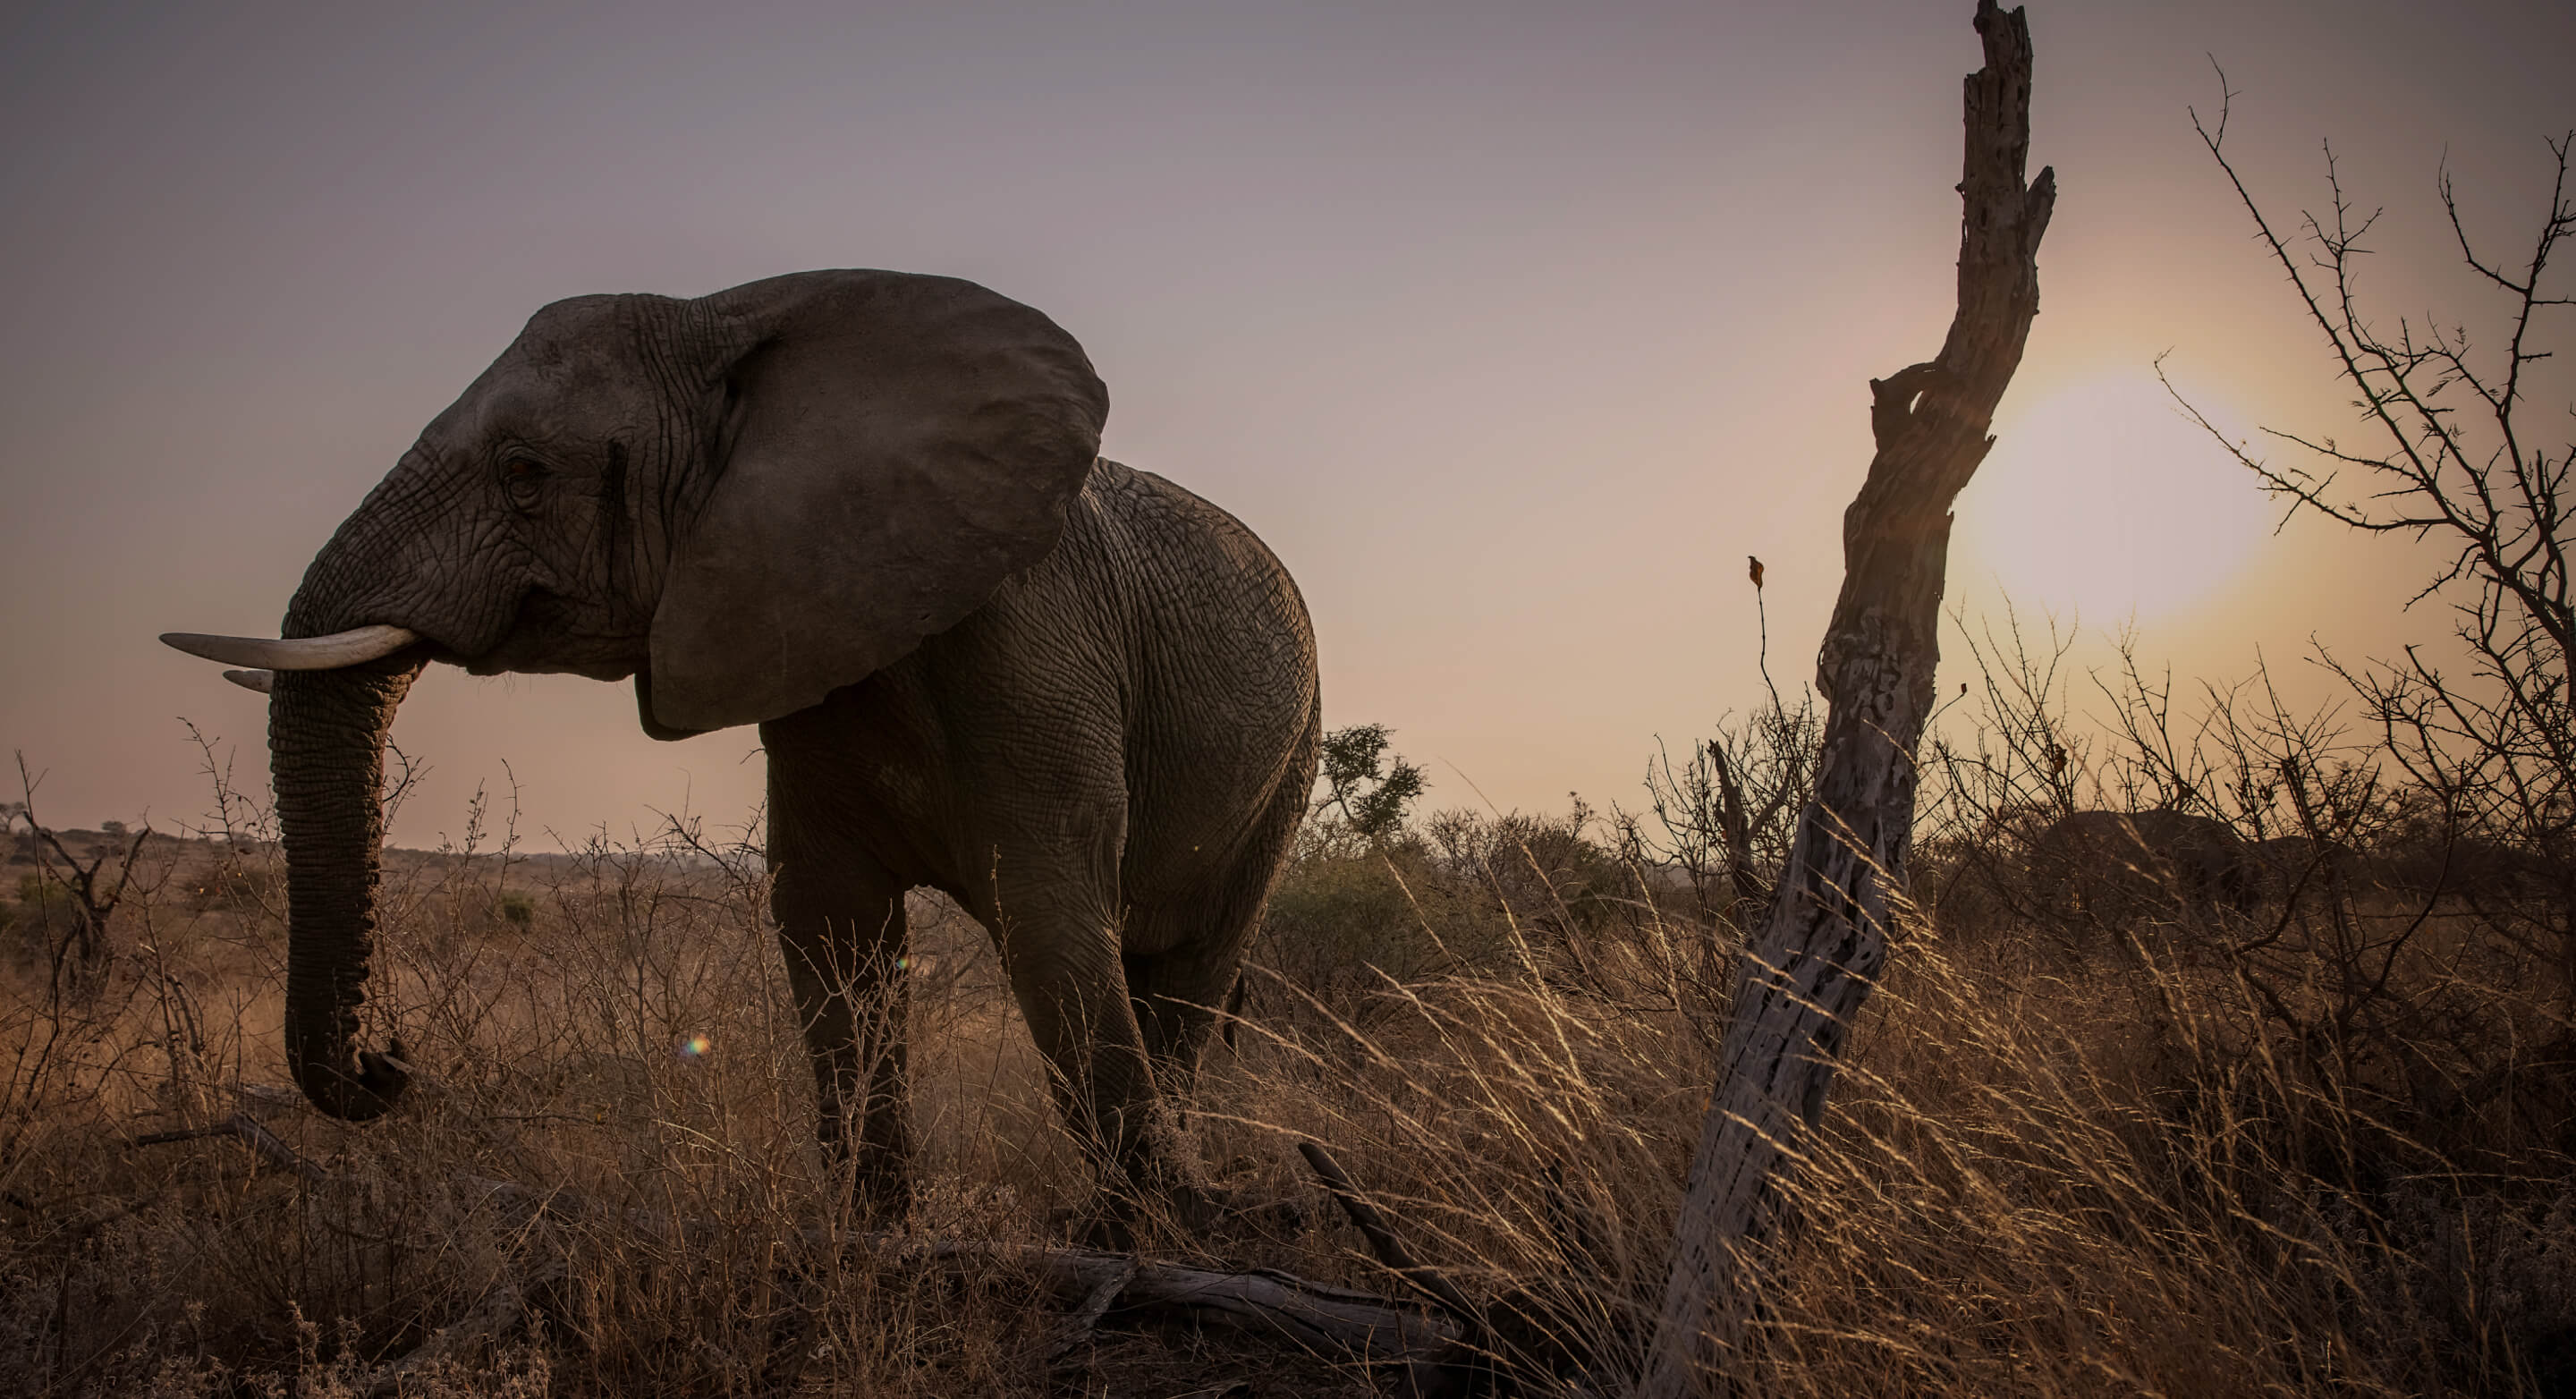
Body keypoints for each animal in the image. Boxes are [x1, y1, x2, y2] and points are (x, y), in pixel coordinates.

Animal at [163, 269, 1323, 1232]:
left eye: (524, 469)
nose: (389, 1061)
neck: (730, 320)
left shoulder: (1031, 641)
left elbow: (1049, 921)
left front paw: (1160, 1235)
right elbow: (831, 926)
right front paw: (878, 1237)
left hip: (1291, 756)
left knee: (1191, 972)